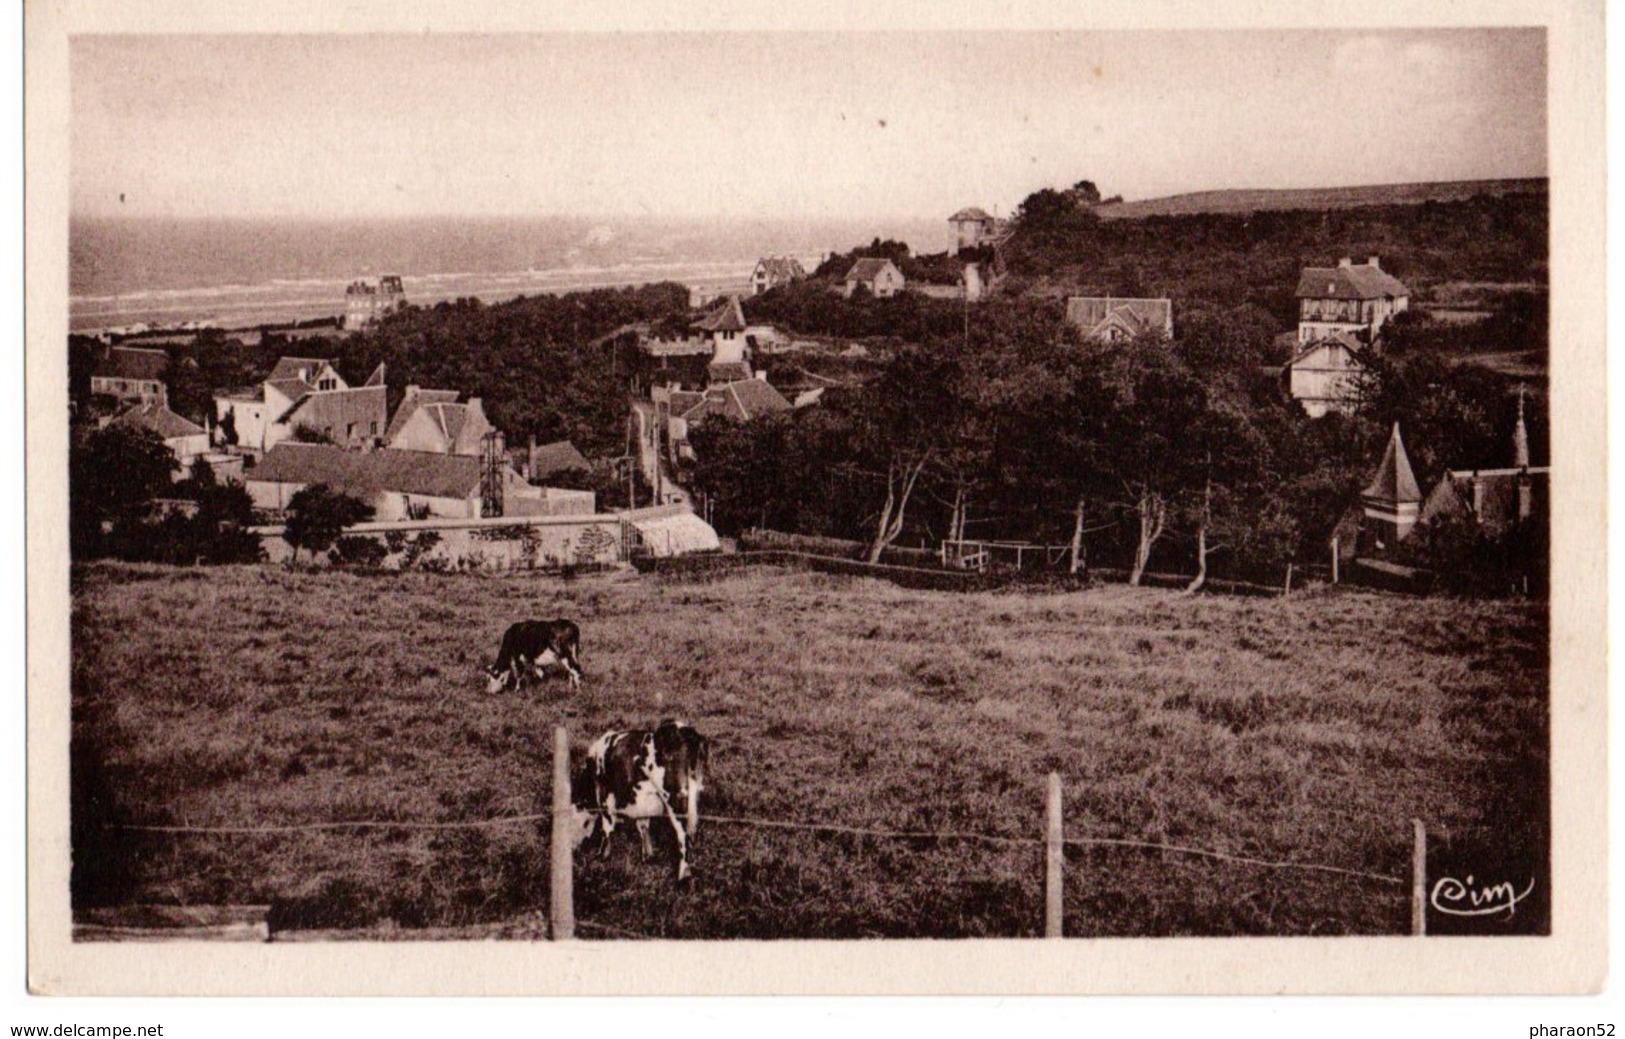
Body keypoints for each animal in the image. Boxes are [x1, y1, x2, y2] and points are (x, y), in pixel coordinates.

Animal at [572, 718, 711, 884]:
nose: (573, 849)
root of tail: (682, 729)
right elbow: (643, 826)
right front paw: (648, 857)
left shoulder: (604, 797)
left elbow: (607, 827)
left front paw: (601, 856)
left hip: (675, 797)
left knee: (682, 834)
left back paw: (683, 875)